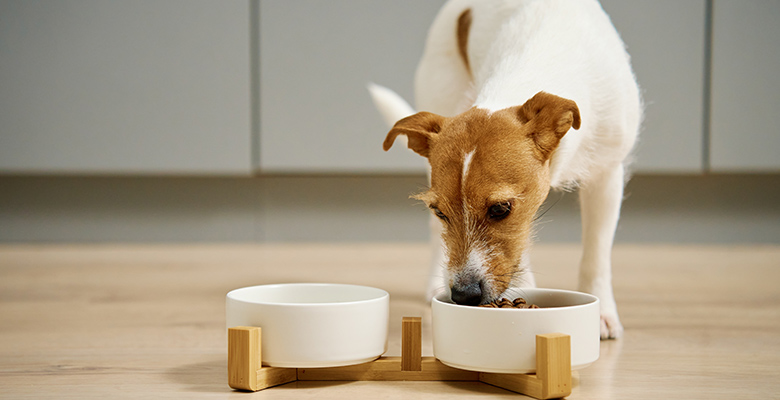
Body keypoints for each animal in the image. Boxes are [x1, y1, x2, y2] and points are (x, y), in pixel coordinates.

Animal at [370, 0, 640, 340]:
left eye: (500, 209)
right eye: (440, 211)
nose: (463, 295)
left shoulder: (606, 174)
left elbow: (597, 252)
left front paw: (602, 311)